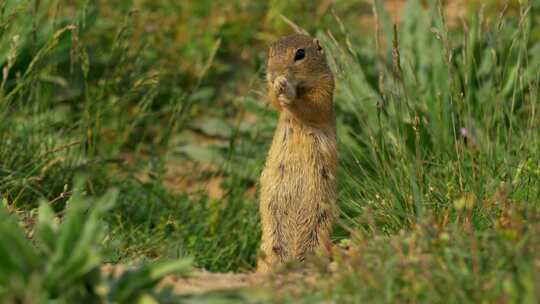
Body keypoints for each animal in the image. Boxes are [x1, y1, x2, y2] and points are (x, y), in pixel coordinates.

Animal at [258, 33, 338, 274]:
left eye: (300, 54)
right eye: (270, 53)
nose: (274, 74)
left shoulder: (325, 87)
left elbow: (314, 106)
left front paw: (287, 91)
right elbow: (275, 102)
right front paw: (277, 89)